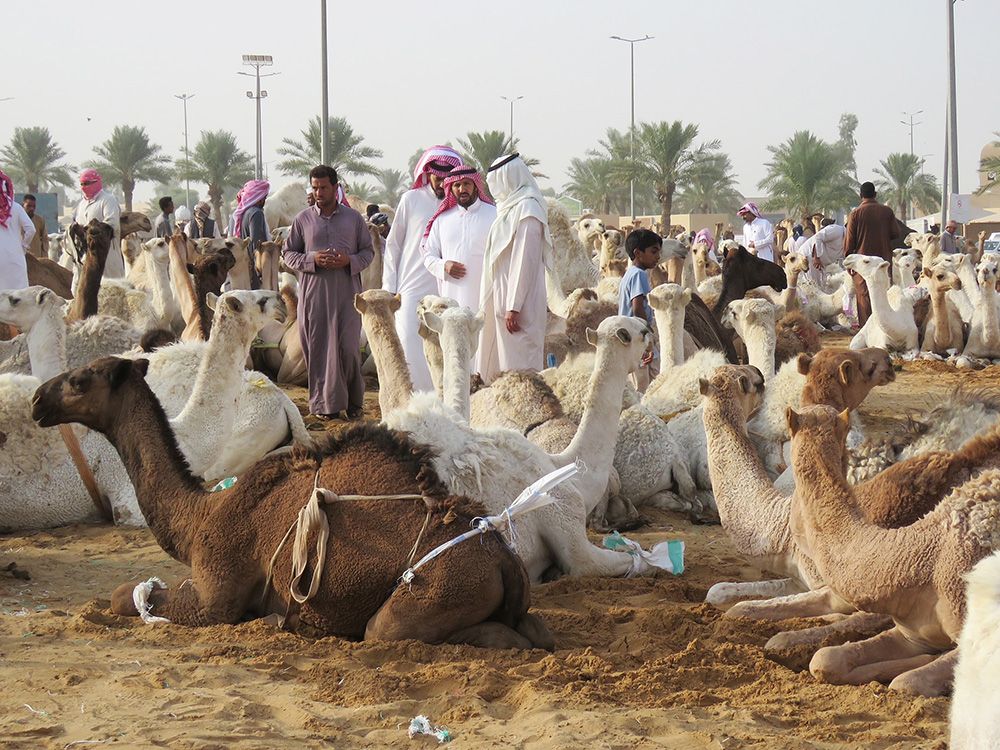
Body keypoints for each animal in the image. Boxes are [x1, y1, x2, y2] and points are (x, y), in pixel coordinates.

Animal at [31, 358, 556, 652]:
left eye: (79, 380)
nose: (37, 399)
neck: (201, 516)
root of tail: (506, 561)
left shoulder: (216, 596)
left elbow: (128, 595)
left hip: (435, 593)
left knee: (400, 631)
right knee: (535, 629)